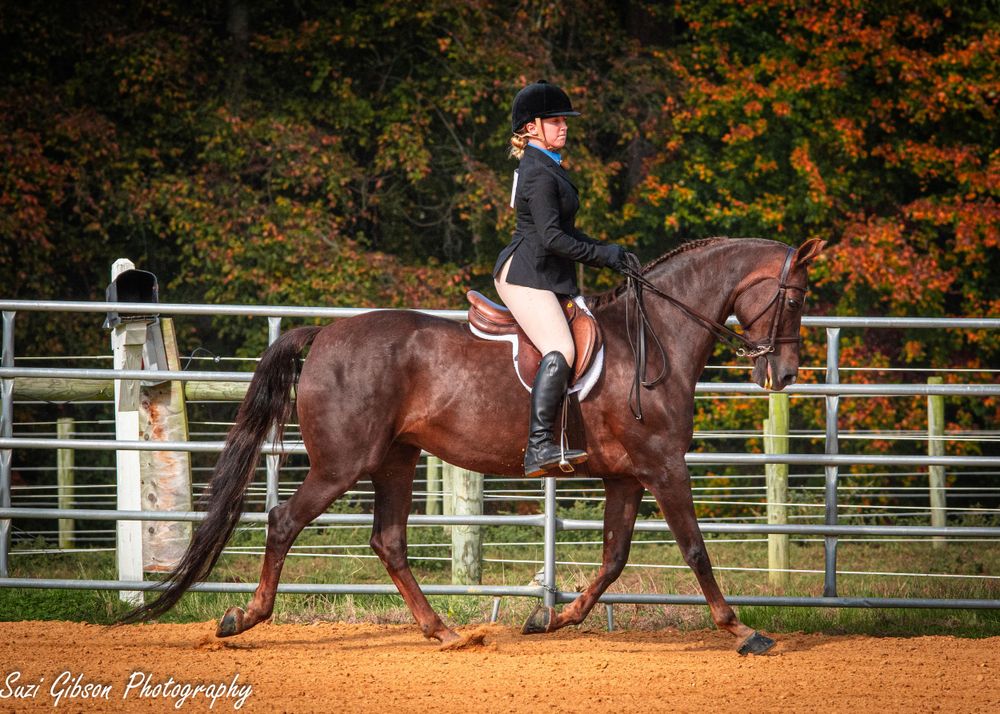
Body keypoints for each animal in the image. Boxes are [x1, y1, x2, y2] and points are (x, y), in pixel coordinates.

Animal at [121, 236, 825, 655]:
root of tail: (325, 335)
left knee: (388, 541)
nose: (785, 375)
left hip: (396, 461)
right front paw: (744, 630)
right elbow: (696, 550)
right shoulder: (664, 467)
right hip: (343, 464)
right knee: (283, 521)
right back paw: (244, 618)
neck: (655, 339)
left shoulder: (627, 476)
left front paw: (549, 620)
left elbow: (614, 559)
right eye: (794, 299)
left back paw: (445, 631)